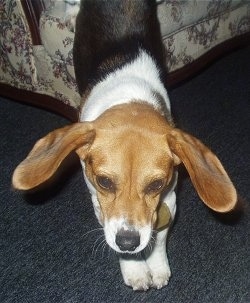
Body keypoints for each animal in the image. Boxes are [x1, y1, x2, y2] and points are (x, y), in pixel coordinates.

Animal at [12, 0, 237, 292]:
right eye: (104, 182)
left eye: (156, 184)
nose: (128, 242)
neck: (131, 97)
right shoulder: (99, 201)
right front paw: (135, 269)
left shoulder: (170, 198)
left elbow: (158, 238)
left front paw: (156, 265)